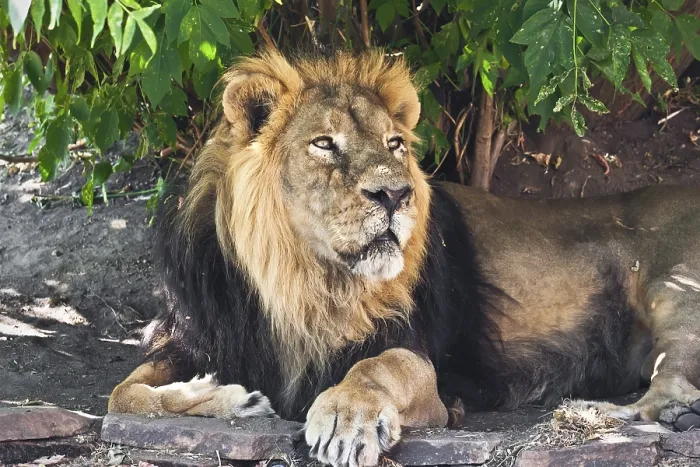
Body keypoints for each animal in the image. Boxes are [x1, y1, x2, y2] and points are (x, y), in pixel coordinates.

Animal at [109, 48, 700, 467]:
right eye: (324, 143)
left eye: (394, 144)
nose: (395, 194)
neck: (302, 280)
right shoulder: (202, 336)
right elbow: (124, 393)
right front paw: (228, 396)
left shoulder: (417, 355)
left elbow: (378, 367)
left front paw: (346, 418)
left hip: (676, 290)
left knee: (671, 378)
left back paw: (612, 413)